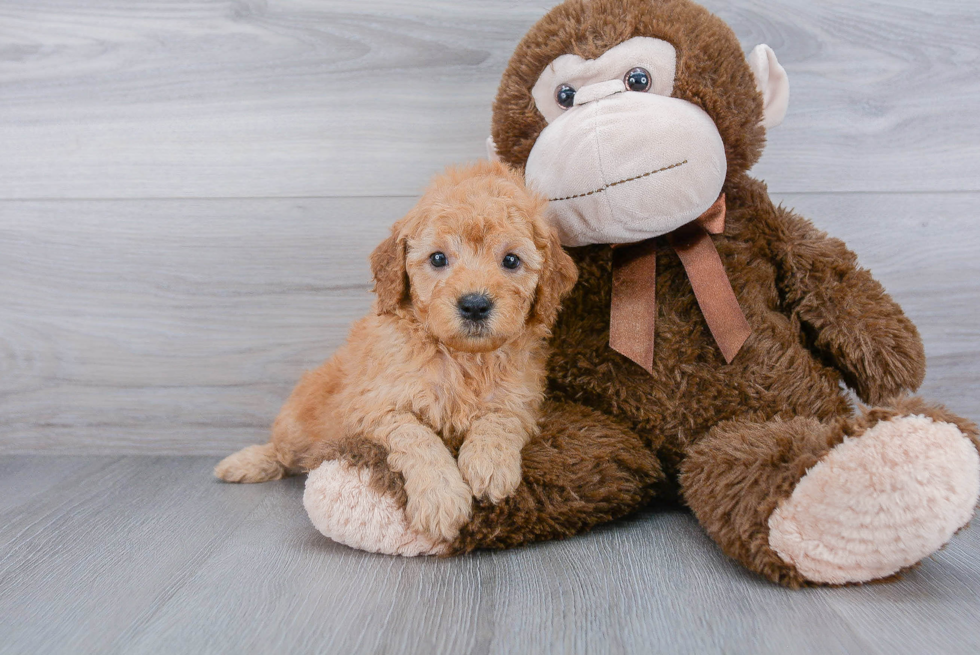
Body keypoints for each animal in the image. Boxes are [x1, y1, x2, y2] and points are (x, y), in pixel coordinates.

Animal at [216, 161, 576, 540]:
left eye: (511, 260)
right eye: (438, 258)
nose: (475, 305)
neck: (462, 357)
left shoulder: (520, 401)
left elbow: (499, 420)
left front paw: (488, 465)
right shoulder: (377, 407)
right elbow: (418, 437)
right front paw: (441, 498)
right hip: (297, 421)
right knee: (283, 452)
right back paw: (244, 463)